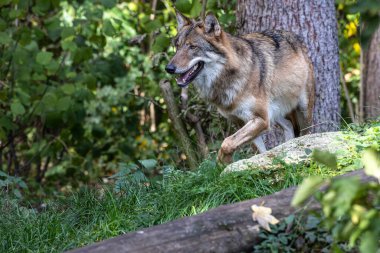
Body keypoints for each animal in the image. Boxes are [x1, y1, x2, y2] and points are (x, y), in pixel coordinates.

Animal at [166, 10, 314, 163]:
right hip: (275, 113)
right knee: (289, 126)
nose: (168, 68)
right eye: (177, 46)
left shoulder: (261, 119)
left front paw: (223, 162)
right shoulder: (243, 122)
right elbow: (256, 151)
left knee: (306, 133)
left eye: (192, 47)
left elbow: (226, 142)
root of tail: (294, 36)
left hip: (303, 110)